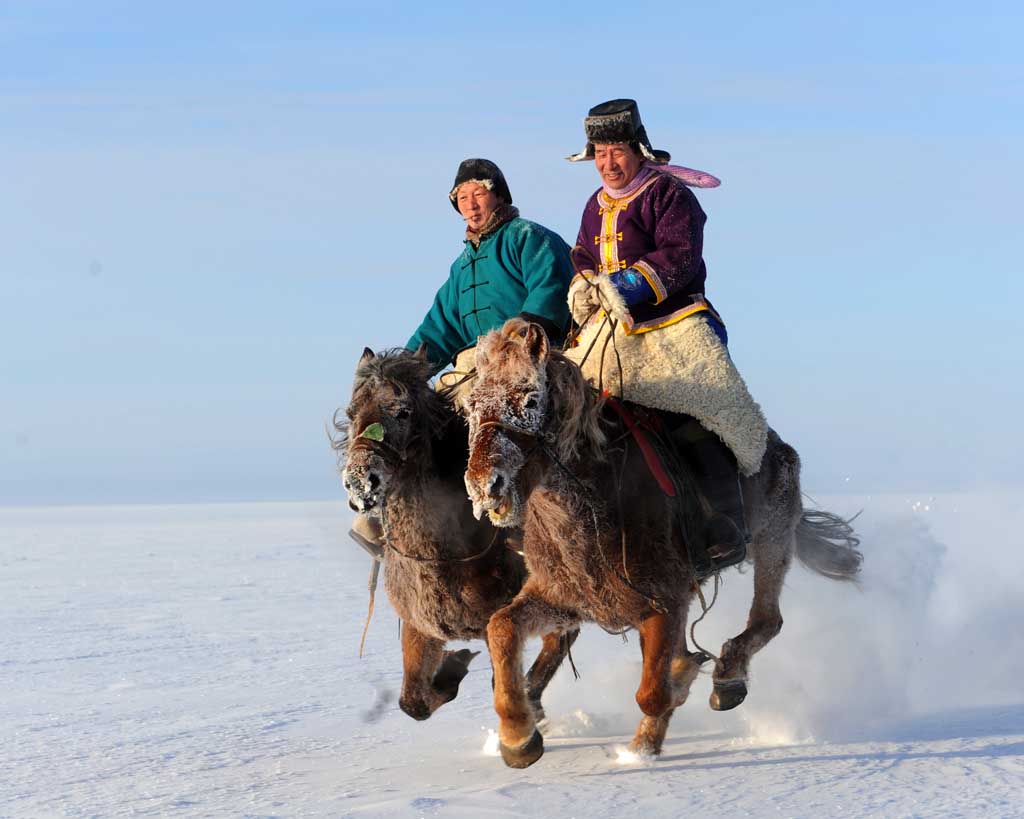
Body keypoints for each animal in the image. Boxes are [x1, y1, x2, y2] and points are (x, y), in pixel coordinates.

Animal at [335, 346, 577, 724]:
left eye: (402, 412)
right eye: (351, 413)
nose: (361, 481)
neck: (441, 555)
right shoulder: (420, 628)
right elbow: (413, 702)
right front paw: (453, 669)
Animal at [464, 319, 864, 769]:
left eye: (531, 398)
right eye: (471, 406)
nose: (484, 485)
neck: (598, 503)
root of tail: (780, 447)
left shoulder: (664, 602)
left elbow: (652, 693)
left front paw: (642, 750)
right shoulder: (565, 599)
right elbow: (501, 627)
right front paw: (518, 736)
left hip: (772, 537)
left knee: (766, 620)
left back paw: (728, 677)